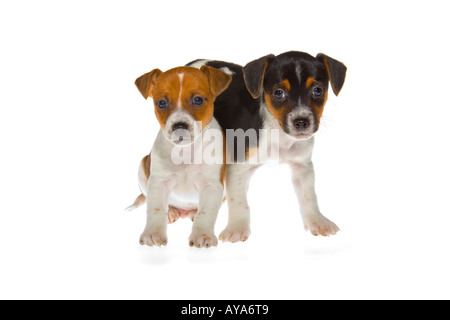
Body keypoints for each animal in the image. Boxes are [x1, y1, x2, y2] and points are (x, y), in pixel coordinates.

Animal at [127, 66, 230, 249]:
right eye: (162, 103)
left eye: (198, 100)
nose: (179, 126)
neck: (185, 152)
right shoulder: (158, 183)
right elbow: (155, 210)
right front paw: (153, 234)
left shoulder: (212, 185)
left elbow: (206, 212)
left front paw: (202, 234)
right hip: (143, 165)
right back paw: (172, 212)